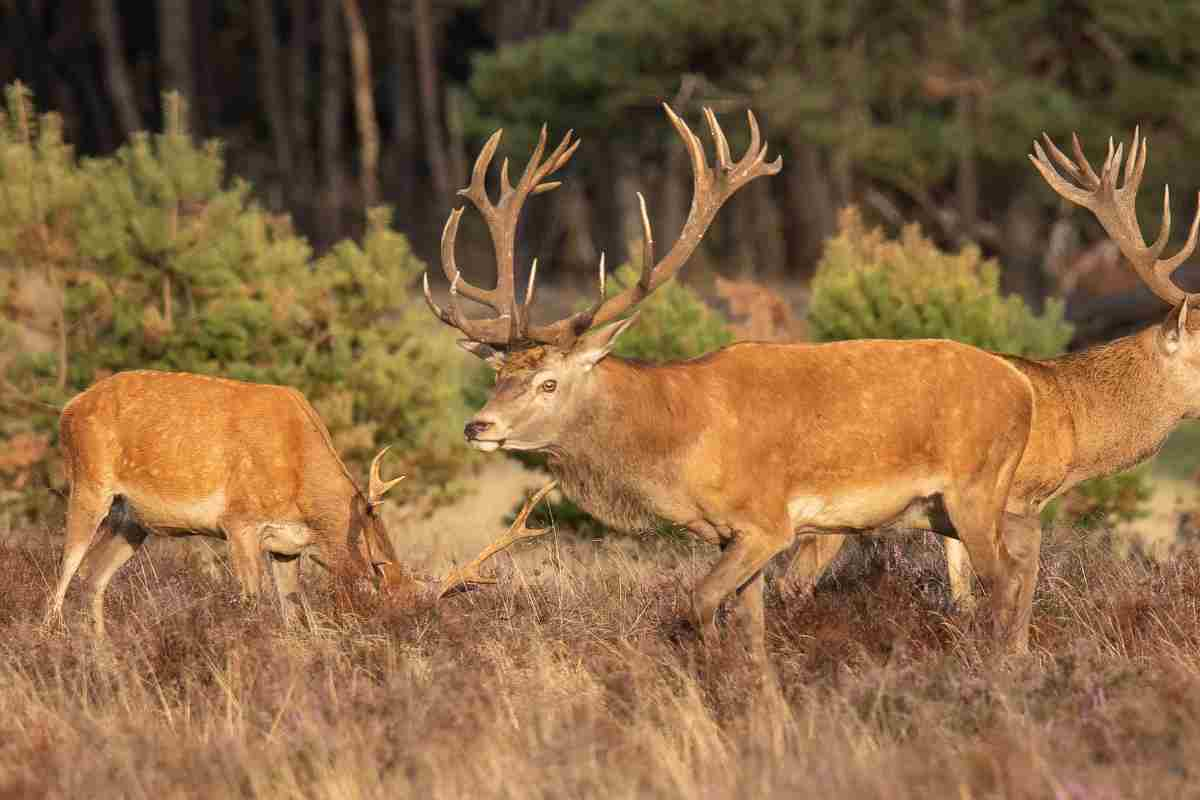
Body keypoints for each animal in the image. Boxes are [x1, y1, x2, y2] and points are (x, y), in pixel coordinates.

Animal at [45, 371, 552, 638]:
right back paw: (49, 642)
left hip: (133, 520)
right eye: (383, 615)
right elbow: (252, 602)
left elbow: (292, 614)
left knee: (93, 580)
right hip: (88, 483)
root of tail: (68, 407)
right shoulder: (239, 521)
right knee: (63, 573)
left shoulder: (287, 546)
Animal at [422, 103, 1041, 662]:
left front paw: (718, 675)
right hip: (959, 504)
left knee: (1006, 575)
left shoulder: (767, 521)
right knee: (1024, 560)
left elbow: (699, 602)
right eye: (499, 374)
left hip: (974, 485)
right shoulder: (729, 533)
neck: (679, 442)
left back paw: (1001, 672)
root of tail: (1023, 387)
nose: (478, 425)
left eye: (548, 383)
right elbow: (752, 626)